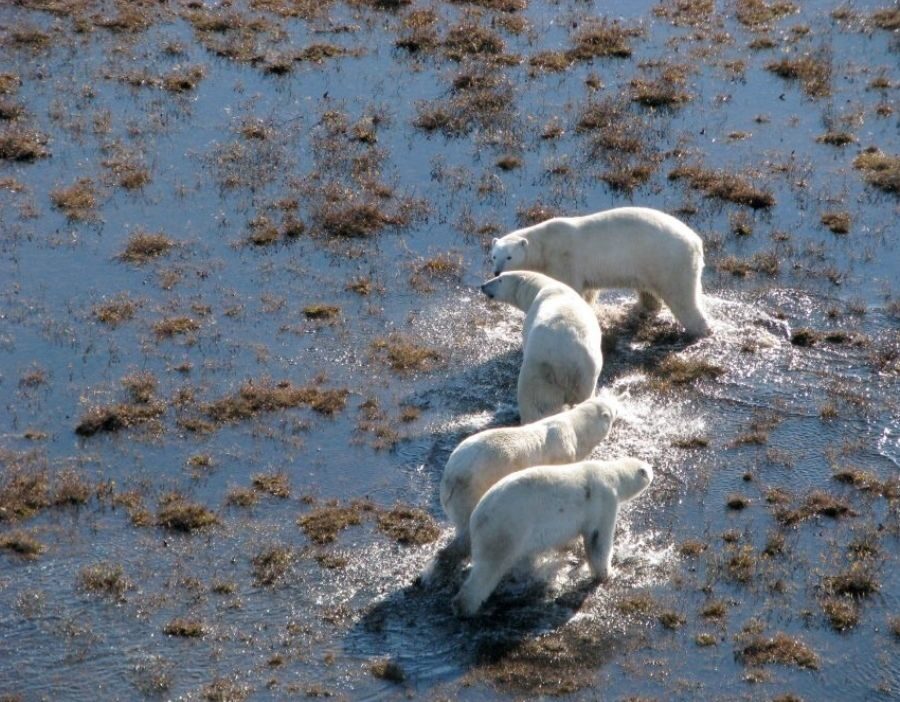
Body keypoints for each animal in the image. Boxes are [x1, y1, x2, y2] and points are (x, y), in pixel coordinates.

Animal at [426, 396, 616, 584]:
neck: (573, 429)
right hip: (473, 489)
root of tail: (450, 477)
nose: (616, 405)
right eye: (611, 408)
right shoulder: (563, 456)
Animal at [454, 456, 652, 616]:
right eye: (648, 469)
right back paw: (466, 606)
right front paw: (607, 574)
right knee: (489, 566)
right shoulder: (603, 502)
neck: (612, 474)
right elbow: (598, 541)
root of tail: (477, 516)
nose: (652, 471)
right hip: (506, 528)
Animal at [482, 270, 600, 424]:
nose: (483, 286)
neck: (546, 286)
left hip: (541, 375)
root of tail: (568, 364)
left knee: (535, 406)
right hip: (586, 379)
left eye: (500, 279)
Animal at [488, 208, 712, 340]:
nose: (497, 270)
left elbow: (570, 288)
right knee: (649, 292)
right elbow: (588, 293)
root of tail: (696, 242)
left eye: (509, 257)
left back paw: (699, 331)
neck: (545, 244)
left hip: (668, 261)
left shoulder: (564, 260)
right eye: (494, 256)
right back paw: (640, 308)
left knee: (682, 297)